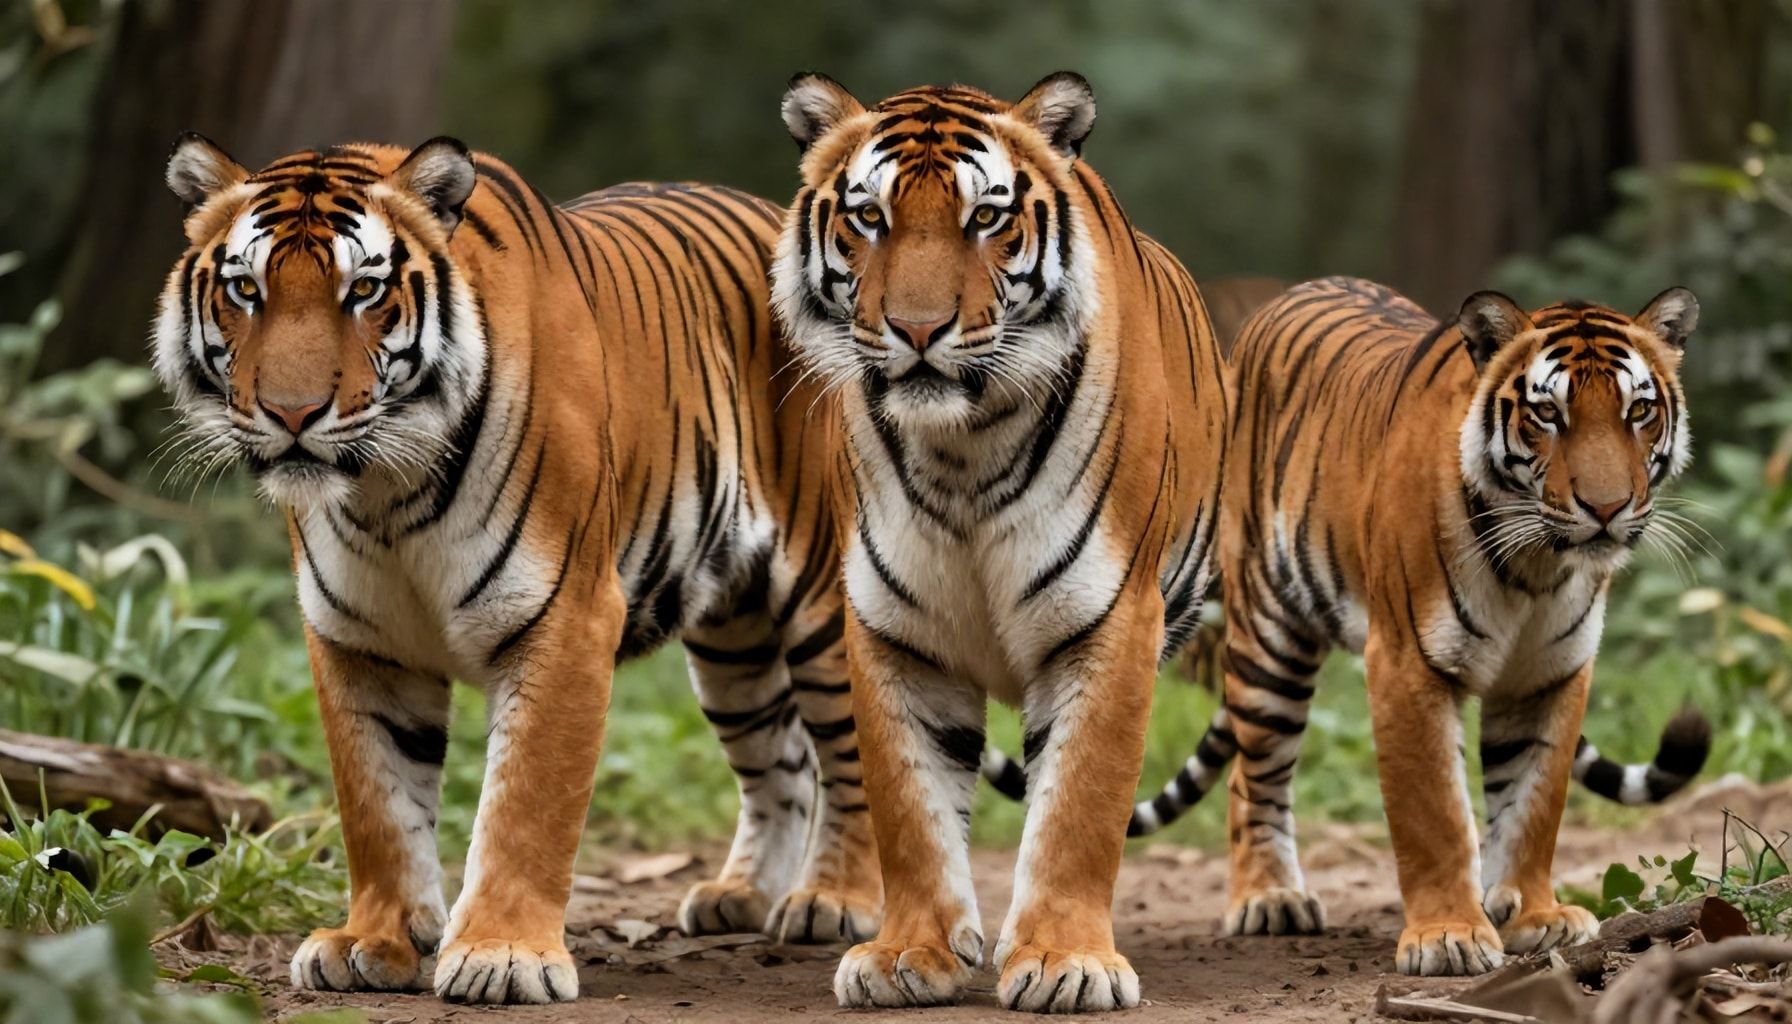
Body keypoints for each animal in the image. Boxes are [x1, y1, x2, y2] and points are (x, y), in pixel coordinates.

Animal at [152, 135, 881, 1004]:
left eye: (363, 290)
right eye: (245, 290)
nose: (291, 415)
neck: (386, 493)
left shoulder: (565, 617)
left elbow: (527, 801)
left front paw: (501, 955)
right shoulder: (359, 641)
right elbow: (376, 803)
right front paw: (373, 941)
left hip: (825, 600)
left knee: (851, 758)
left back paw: (833, 901)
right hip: (732, 641)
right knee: (782, 761)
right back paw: (740, 896)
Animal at [770, 72, 1229, 1012]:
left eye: (984, 217)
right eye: (868, 217)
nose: (916, 330)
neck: (963, 449)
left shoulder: (1110, 619)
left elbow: (1080, 802)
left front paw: (1065, 962)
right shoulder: (892, 629)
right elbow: (908, 807)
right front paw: (911, 954)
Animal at [1120, 276, 1710, 976]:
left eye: (1638, 412)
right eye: (1547, 415)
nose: (1607, 507)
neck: (1537, 565)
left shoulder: (1550, 676)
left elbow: (1533, 805)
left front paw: (1535, 916)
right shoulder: (1408, 664)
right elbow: (1436, 814)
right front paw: (1449, 935)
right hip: (1269, 638)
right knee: (1253, 772)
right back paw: (1270, 899)